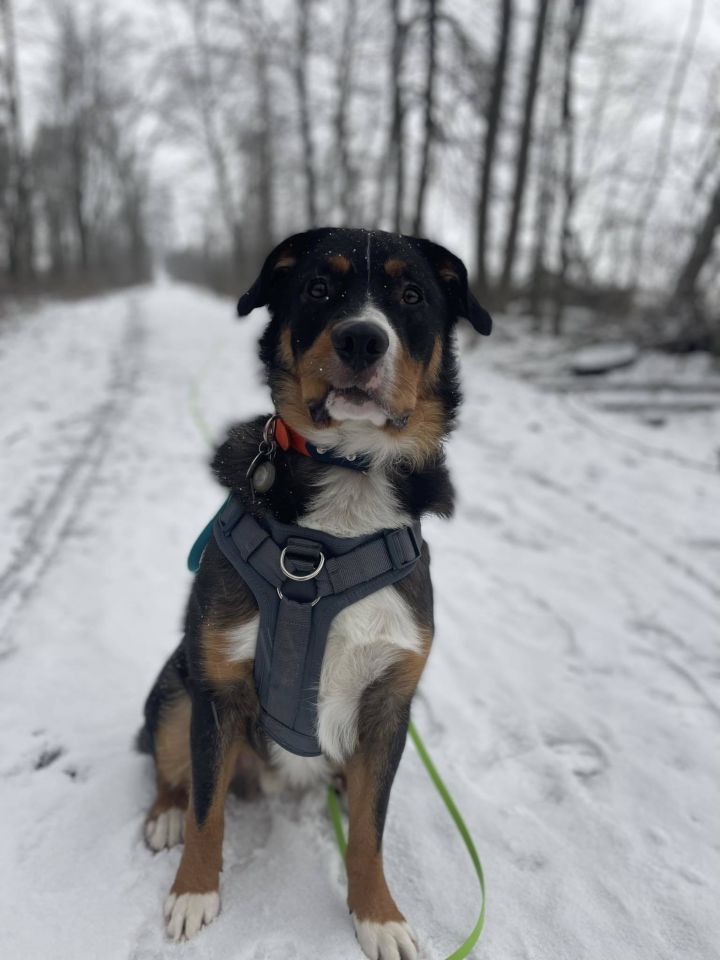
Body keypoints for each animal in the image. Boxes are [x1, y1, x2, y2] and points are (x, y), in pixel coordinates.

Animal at [138, 229, 492, 956]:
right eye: (319, 288)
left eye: (411, 293)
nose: (362, 339)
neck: (341, 515)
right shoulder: (217, 684)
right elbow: (207, 809)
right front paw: (194, 891)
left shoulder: (388, 703)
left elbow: (370, 832)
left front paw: (377, 914)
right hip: (176, 681)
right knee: (173, 770)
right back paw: (164, 815)